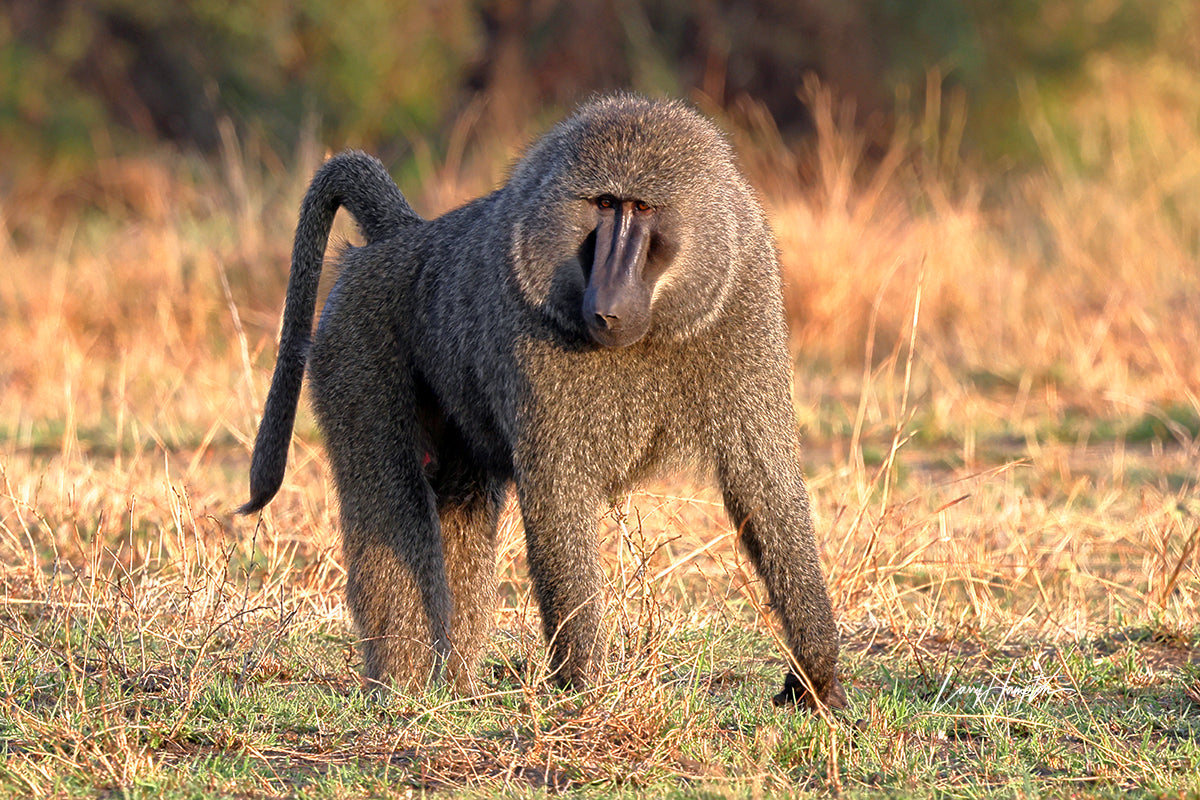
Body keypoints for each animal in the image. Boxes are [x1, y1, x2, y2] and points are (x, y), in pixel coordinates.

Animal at [239, 93, 847, 710]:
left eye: (642, 208)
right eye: (603, 204)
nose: (606, 307)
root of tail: (402, 238)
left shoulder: (745, 297)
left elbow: (764, 483)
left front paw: (816, 674)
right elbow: (560, 493)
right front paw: (585, 688)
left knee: (458, 502)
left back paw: (453, 687)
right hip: (353, 340)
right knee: (390, 501)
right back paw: (405, 690)